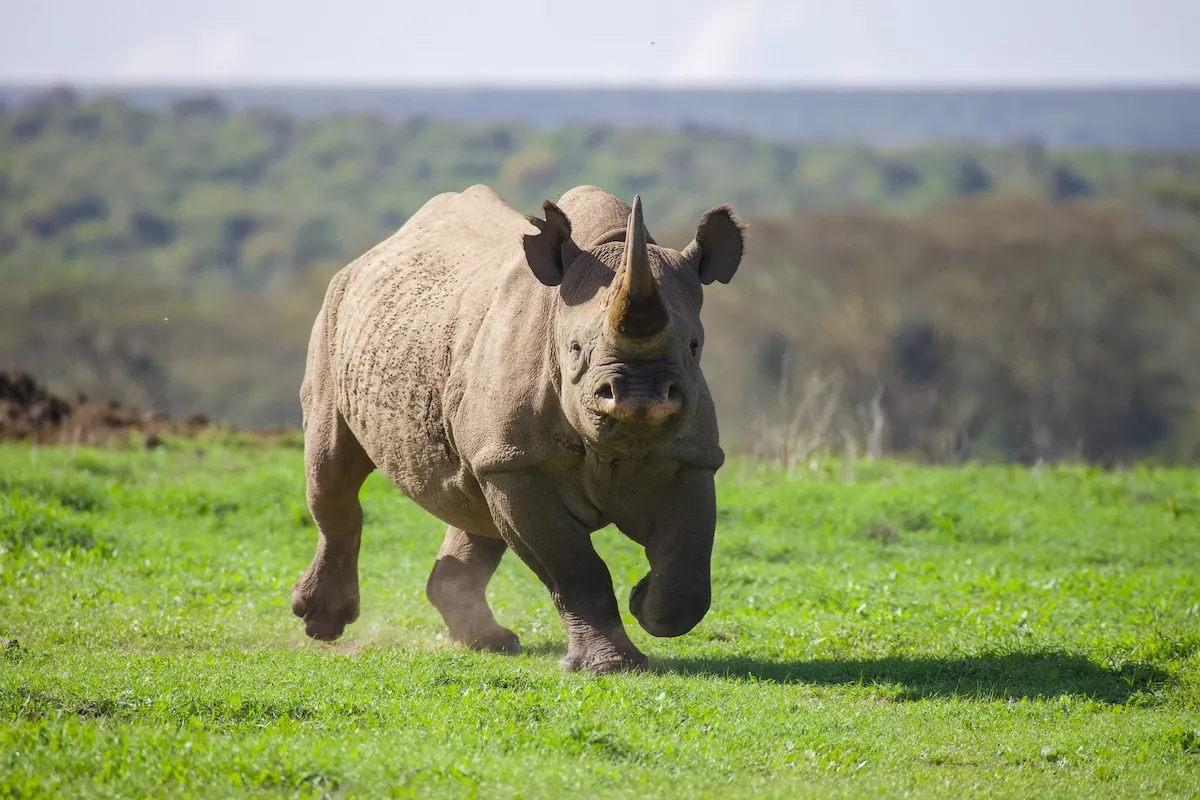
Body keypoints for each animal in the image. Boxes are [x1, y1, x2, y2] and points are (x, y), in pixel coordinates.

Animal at [291, 184, 745, 672]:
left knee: (475, 500)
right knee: (333, 474)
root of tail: (371, 254)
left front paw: (644, 602)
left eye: (694, 347)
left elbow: (686, 564)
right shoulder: (520, 465)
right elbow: (574, 568)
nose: (640, 399)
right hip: (334, 317)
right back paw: (321, 624)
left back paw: (491, 642)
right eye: (574, 349)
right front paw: (610, 665)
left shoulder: (690, 457)